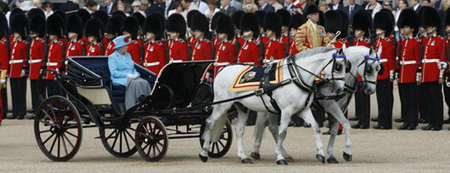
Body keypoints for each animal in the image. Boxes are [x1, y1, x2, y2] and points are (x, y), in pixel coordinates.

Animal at [199, 47, 346, 165]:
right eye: (339, 66)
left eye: (347, 66)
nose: (341, 89)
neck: (295, 76)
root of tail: (222, 69)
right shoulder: (286, 111)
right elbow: (282, 133)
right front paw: (279, 156)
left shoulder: (303, 110)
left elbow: (316, 128)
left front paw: (320, 154)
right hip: (222, 104)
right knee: (210, 122)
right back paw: (204, 153)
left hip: (242, 107)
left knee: (239, 130)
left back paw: (243, 156)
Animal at [251, 45, 382, 163]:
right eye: (369, 68)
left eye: (379, 68)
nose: (371, 90)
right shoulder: (331, 106)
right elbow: (346, 123)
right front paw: (347, 152)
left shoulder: (342, 107)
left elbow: (335, 129)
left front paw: (330, 155)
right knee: (272, 127)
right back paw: (273, 153)